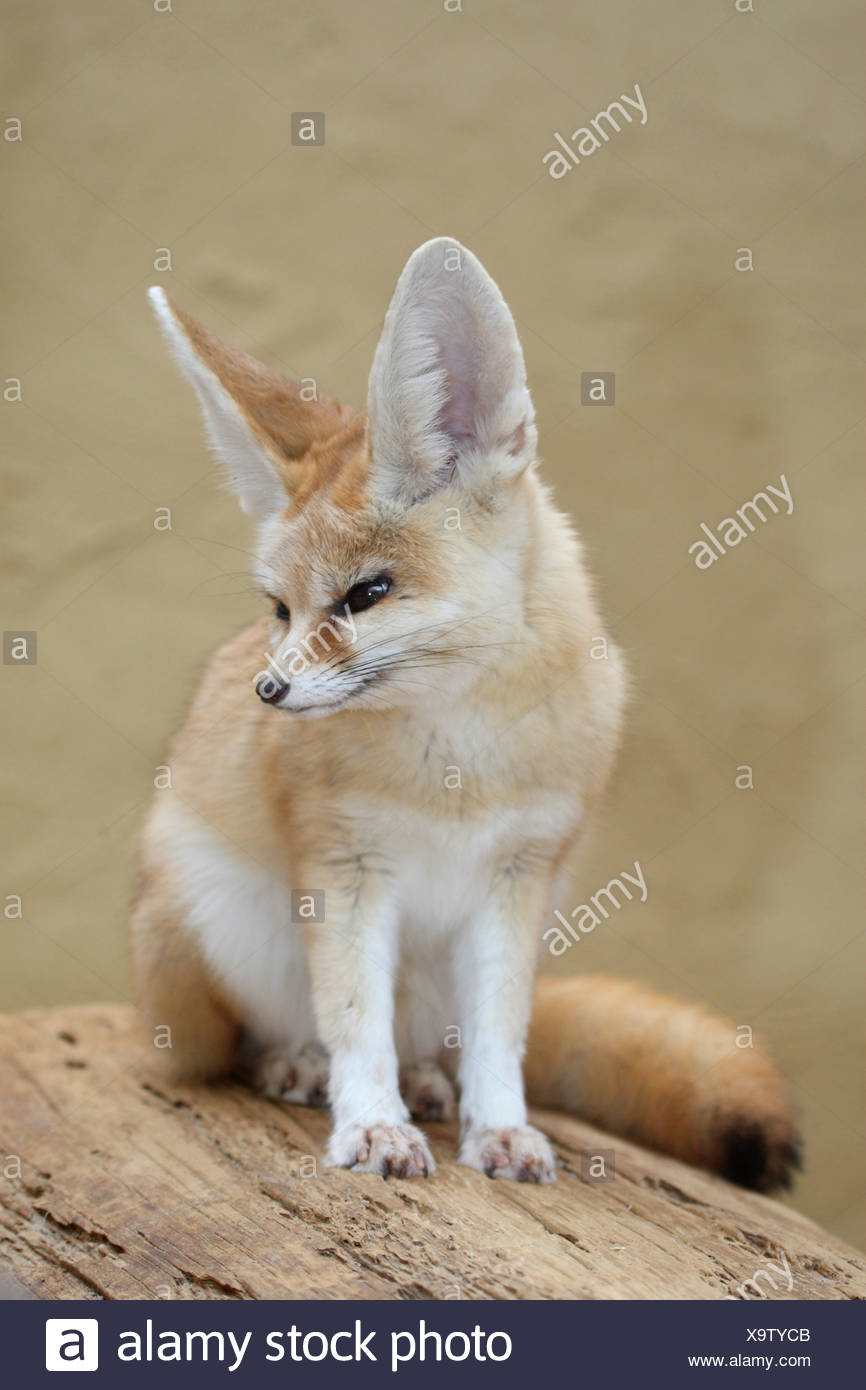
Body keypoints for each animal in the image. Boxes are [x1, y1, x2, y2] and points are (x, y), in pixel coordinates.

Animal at [132, 238, 800, 1191]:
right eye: (280, 611)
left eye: (367, 594)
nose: (268, 693)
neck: (459, 764)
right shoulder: (345, 871)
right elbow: (354, 1021)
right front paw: (372, 1126)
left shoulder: (517, 881)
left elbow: (498, 1038)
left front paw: (501, 1129)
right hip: (214, 924)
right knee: (246, 1044)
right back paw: (296, 1064)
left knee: (440, 1043)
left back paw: (427, 1083)